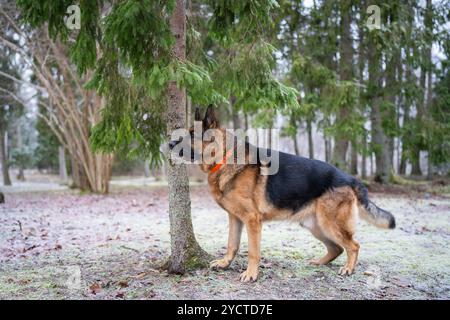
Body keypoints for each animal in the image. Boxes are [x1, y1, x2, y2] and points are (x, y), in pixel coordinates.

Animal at [168, 107, 394, 282]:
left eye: (192, 135)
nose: (169, 144)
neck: (225, 158)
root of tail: (350, 178)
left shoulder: (252, 220)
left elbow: (253, 251)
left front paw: (251, 274)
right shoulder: (235, 218)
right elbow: (232, 244)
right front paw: (224, 263)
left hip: (330, 223)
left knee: (353, 245)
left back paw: (348, 268)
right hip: (315, 226)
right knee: (336, 248)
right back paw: (319, 262)